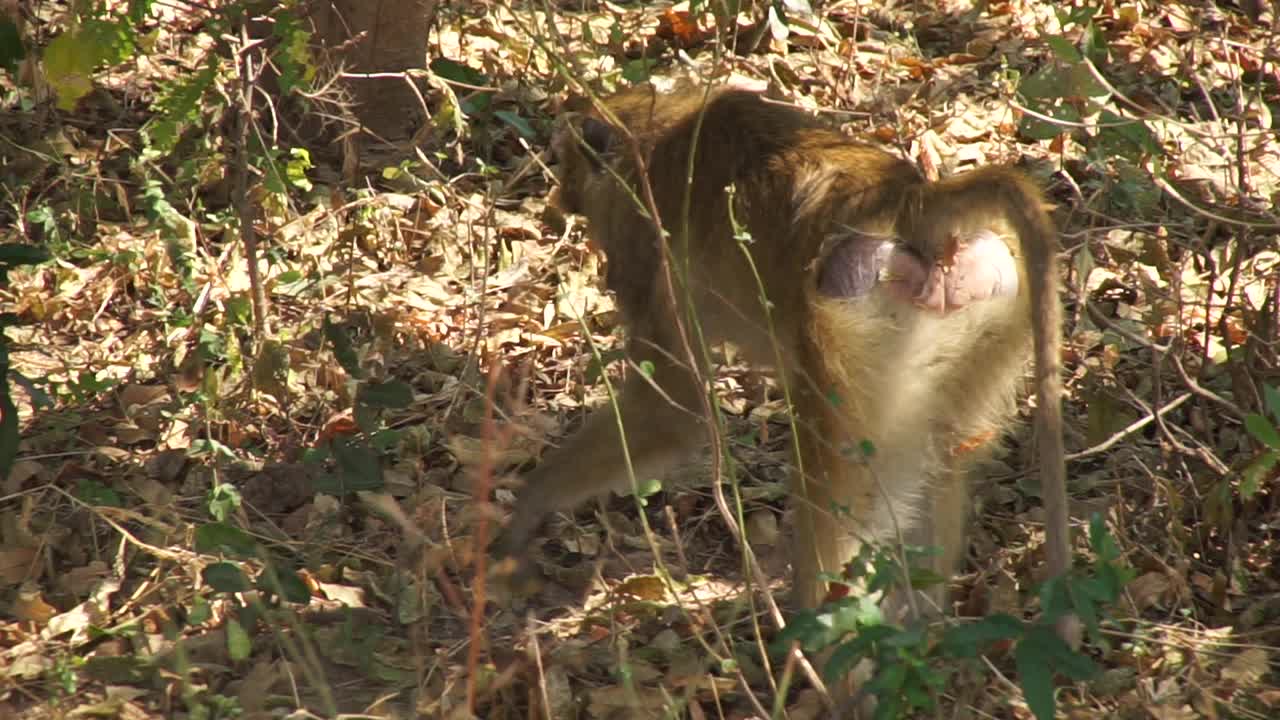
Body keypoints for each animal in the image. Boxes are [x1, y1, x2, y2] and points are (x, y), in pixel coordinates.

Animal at [494, 81, 1075, 625]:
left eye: (567, 165)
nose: (559, 199)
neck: (660, 131)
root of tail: (910, 205)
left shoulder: (642, 245)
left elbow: (673, 411)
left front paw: (525, 511)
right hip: (993, 309)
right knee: (942, 452)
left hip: (852, 323)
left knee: (833, 480)